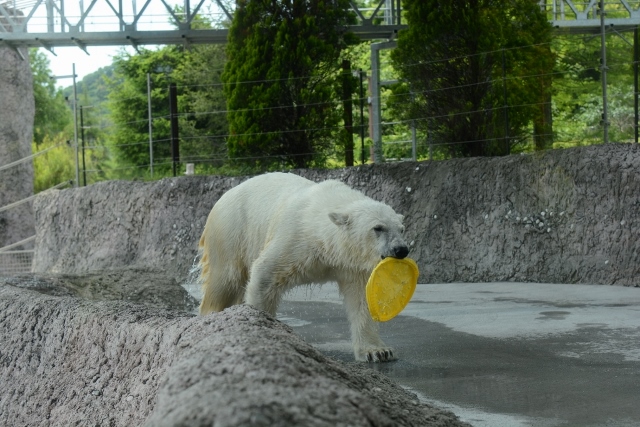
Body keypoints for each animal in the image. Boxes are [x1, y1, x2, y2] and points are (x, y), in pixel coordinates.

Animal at [198, 172, 410, 362]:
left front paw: (378, 351)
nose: (401, 249)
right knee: (225, 279)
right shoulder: (295, 238)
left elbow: (362, 298)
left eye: (401, 229)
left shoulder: (351, 263)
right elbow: (265, 275)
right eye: (378, 228)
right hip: (231, 231)